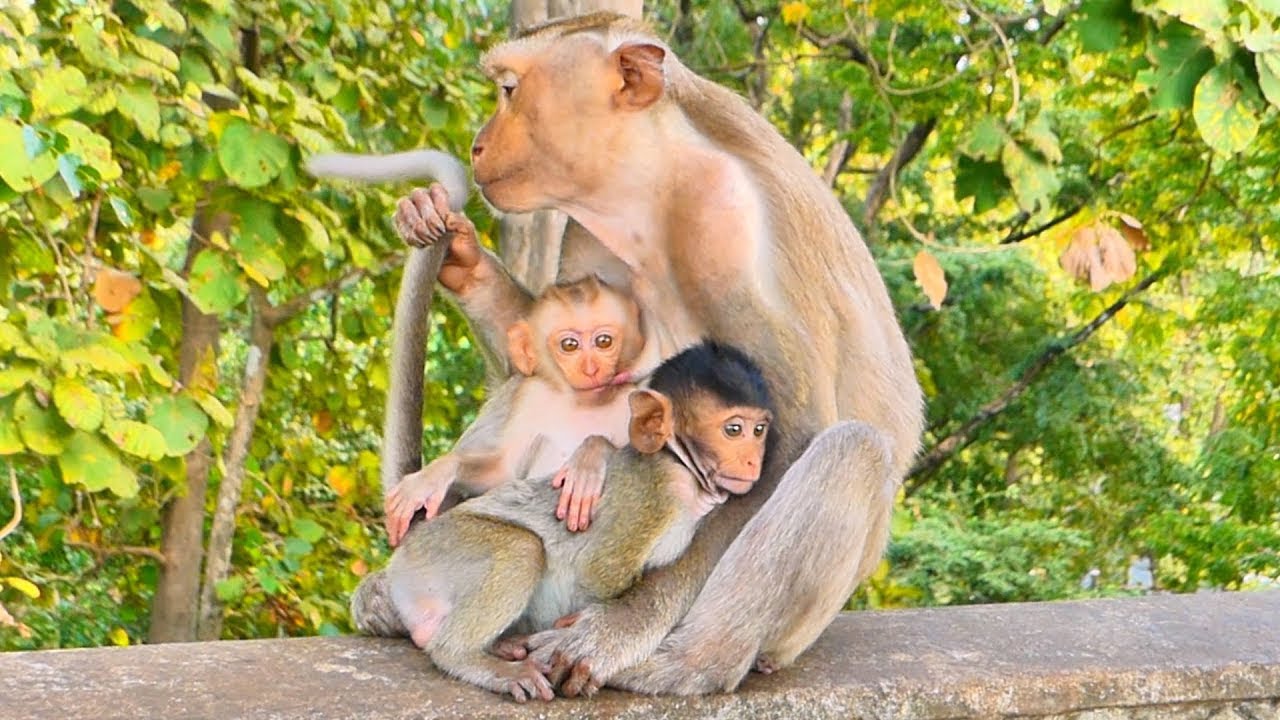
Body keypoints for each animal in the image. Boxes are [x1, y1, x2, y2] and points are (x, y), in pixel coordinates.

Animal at [369, 341, 774, 702]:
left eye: (759, 431)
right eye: (733, 430)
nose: (753, 460)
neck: (684, 468)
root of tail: (407, 547)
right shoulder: (656, 491)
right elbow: (600, 572)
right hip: (435, 550)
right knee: (522, 549)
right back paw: (465, 657)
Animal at [382, 274, 653, 546]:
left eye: (603, 341)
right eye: (569, 345)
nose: (590, 368)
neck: (584, 401)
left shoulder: (632, 398)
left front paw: (590, 457)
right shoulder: (530, 396)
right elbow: (503, 471)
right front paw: (438, 472)